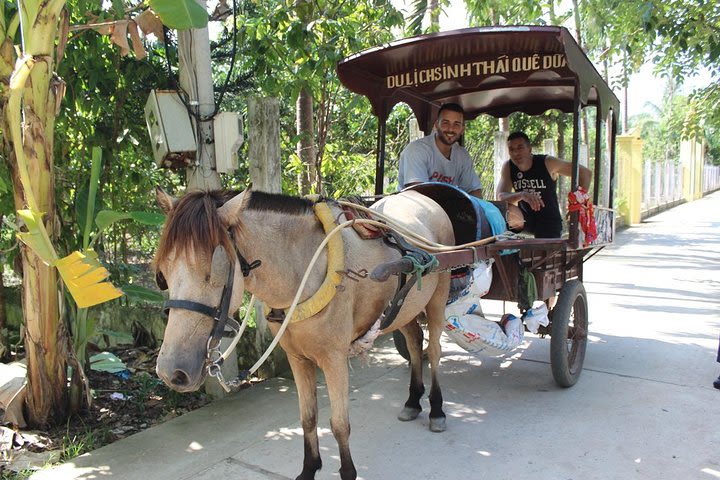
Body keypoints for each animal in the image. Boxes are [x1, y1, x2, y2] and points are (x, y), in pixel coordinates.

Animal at [154, 187, 452, 480]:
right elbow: (307, 417)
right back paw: (413, 401)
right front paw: (309, 468)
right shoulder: (297, 358)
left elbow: (339, 424)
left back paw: (437, 410)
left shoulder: (334, 359)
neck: (305, 269)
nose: (171, 372)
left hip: (438, 297)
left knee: (434, 350)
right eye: (163, 274)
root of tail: (424, 198)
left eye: (212, 272)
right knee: (414, 342)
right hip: (405, 306)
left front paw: (347, 471)